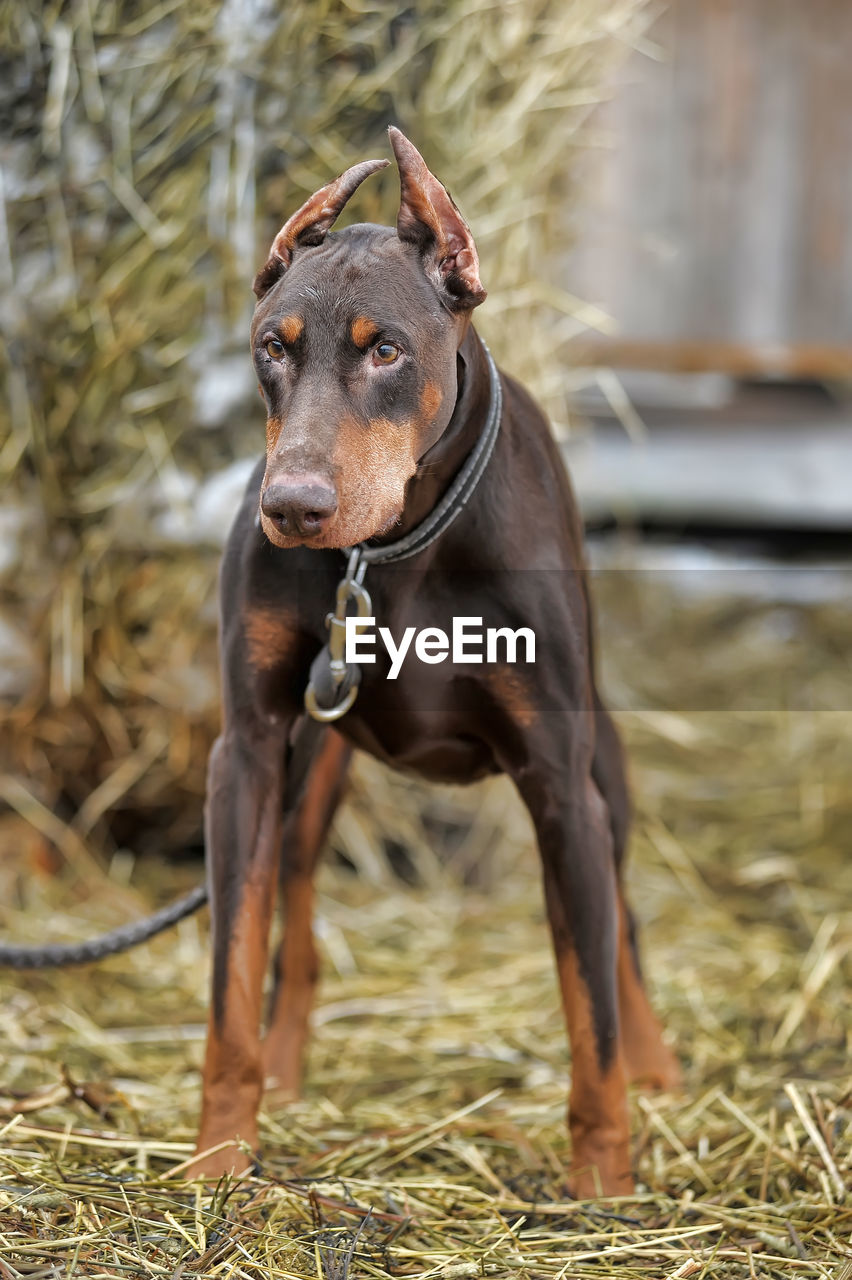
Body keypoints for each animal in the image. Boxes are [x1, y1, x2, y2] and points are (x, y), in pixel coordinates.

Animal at [188, 124, 675, 1192]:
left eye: (387, 351)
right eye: (272, 349)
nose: (292, 508)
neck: (396, 552)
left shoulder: (558, 780)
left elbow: (590, 1007)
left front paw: (606, 1187)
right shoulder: (248, 754)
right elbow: (232, 974)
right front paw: (216, 1163)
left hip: (604, 770)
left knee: (620, 929)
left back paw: (658, 1063)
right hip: (309, 773)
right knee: (295, 922)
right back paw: (284, 1072)